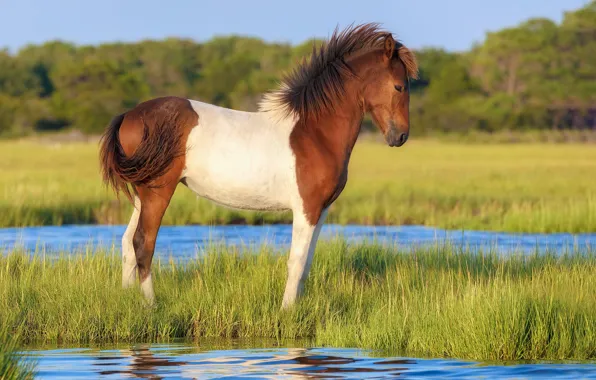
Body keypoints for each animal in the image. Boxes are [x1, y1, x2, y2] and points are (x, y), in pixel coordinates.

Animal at [99, 23, 420, 308]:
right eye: (399, 86)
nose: (401, 136)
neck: (314, 132)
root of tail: (129, 115)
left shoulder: (322, 210)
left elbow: (307, 261)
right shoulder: (306, 208)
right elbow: (296, 260)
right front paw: (287, 311)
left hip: (141, 195)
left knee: (127, 243)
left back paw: (127, 300)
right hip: (158, 192)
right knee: (143, 243)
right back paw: (151, 305)